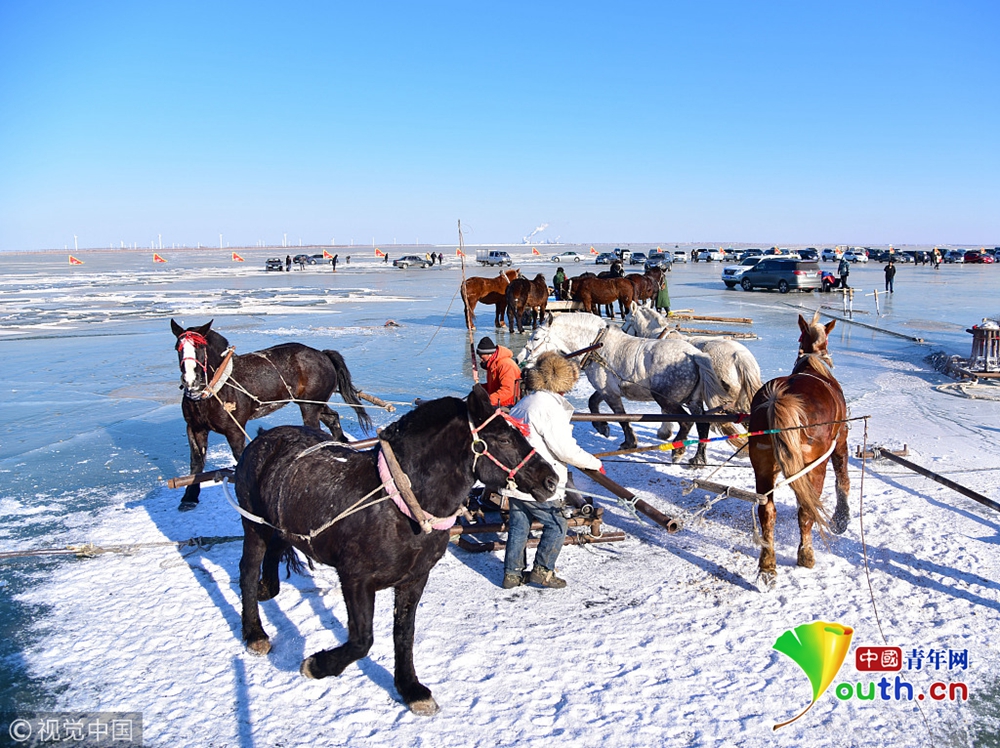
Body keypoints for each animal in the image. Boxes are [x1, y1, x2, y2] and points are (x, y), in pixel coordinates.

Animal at [170, 319, 371, 510]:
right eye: (178, 347)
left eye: (200, 347)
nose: (191, 381)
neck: (215, 389)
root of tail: (323, 354)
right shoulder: (195, 428)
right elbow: (196, 462)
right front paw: (189, 497)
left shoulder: (234, 430)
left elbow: (239, 456)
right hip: (315, 403)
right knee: (333, 417)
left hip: (310, 406)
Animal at [234, 385, 557, 715]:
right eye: (504, 438)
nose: (551, 479)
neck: (400, 506)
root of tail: (263, 438)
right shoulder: (355, 579)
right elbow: (362, 640)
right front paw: (318, 665)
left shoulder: (414, 580)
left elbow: (404, 634)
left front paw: (410, 688)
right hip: (254, 526)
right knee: (247, 570)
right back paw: (255, 632)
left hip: (280, 527)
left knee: (274, 554)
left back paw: (267, 588)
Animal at [517, 313, 729, 464]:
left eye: (536, 338)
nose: (520, 360)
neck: (597, 347)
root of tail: (695, 355)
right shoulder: (606, 389)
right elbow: (592, 402)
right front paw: (602, 427)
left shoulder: (610, 393)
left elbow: (622, 418)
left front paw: (628, 441)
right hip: (693, 400)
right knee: (702, 424)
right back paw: (698, 458)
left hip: (667, 399)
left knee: (686, 422)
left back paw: (678, 450)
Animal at [748, 312, 850, 585]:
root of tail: (779, 398)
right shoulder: (841, 438)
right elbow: (842, 476)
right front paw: (841, 518)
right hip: (814, 466)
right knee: (806, 510)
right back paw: (806, 555)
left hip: (762, 465)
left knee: (767, 511)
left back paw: (767, 565)